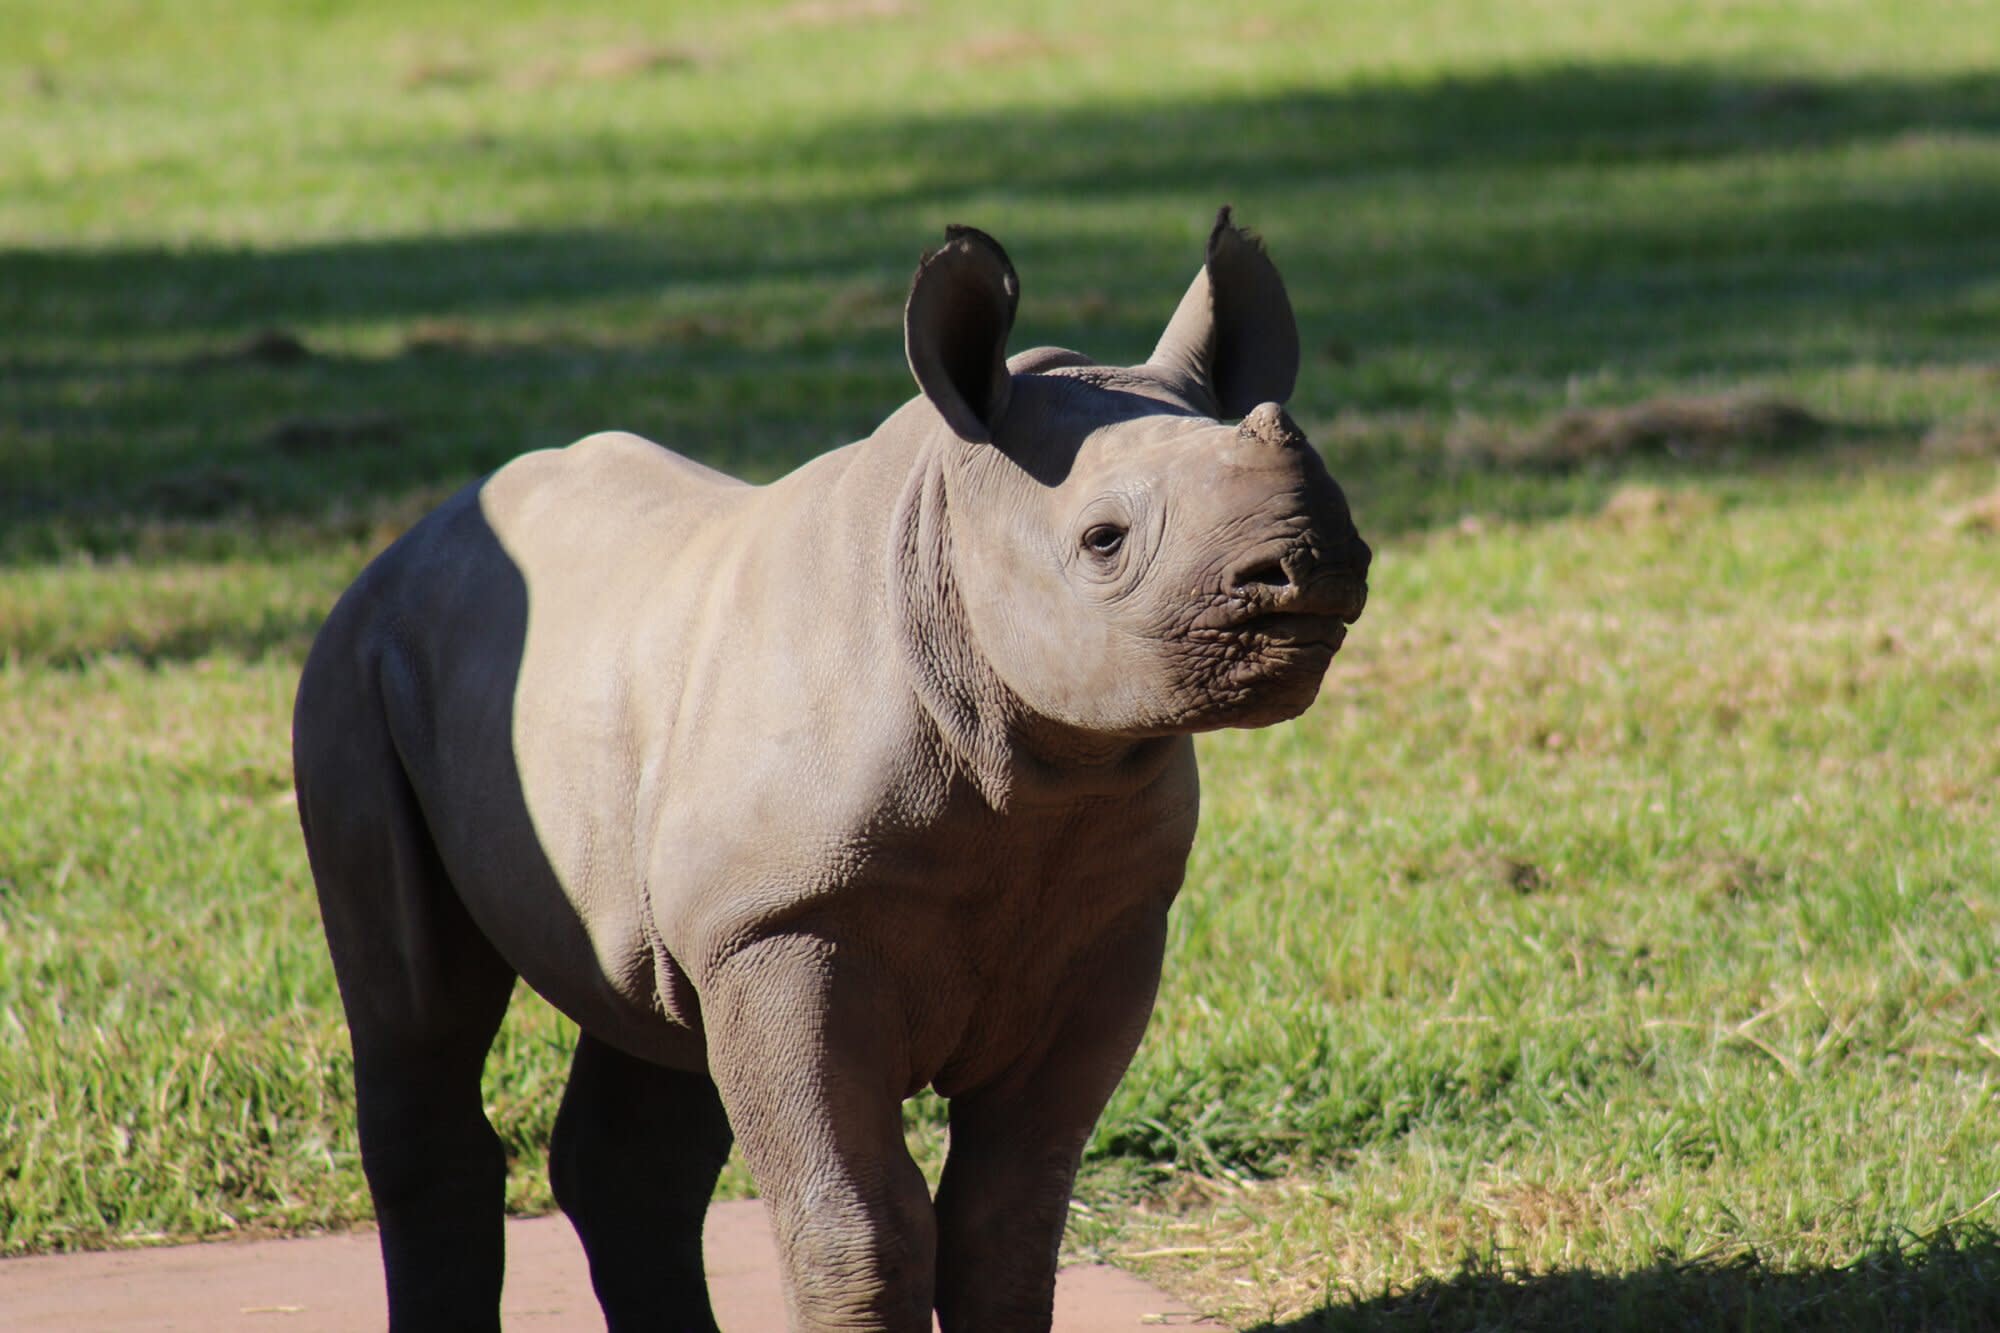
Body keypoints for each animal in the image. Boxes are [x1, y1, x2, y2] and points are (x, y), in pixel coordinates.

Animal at [292, 209, 1370, 1332]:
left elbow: (1011, 1217)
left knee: (650, 1040)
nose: (1313, 565)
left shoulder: (1105, 921)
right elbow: (862, 1226)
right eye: (1104, 540)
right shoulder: (782, 922)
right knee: (422, 1019)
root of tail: (415, 534)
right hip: (360, 662)